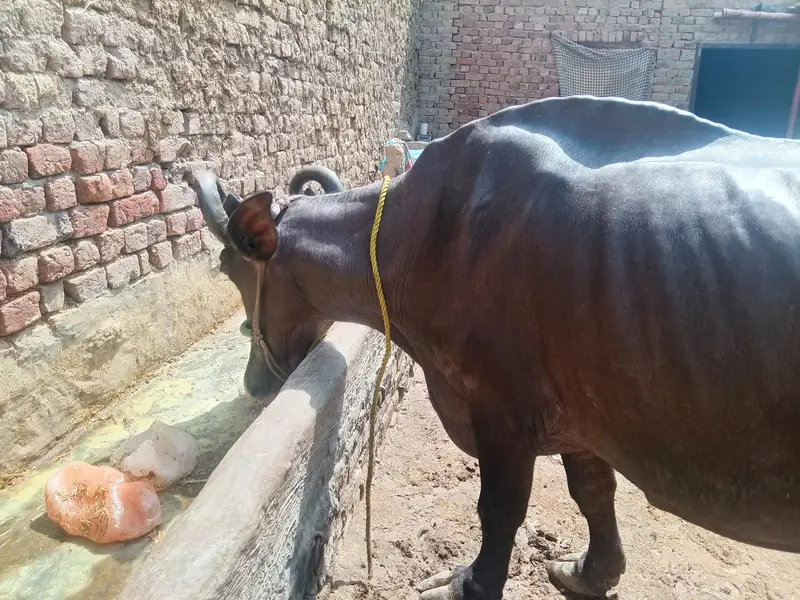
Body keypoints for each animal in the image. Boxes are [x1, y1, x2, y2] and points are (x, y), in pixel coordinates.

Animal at [192, 95, 800, 600]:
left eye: (230, 268)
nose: (253, 383)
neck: (425, 238)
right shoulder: (578, 414)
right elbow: (592, 492)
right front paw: (589, 573)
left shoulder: (501, 411)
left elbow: (500, 509)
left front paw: (473, 584)